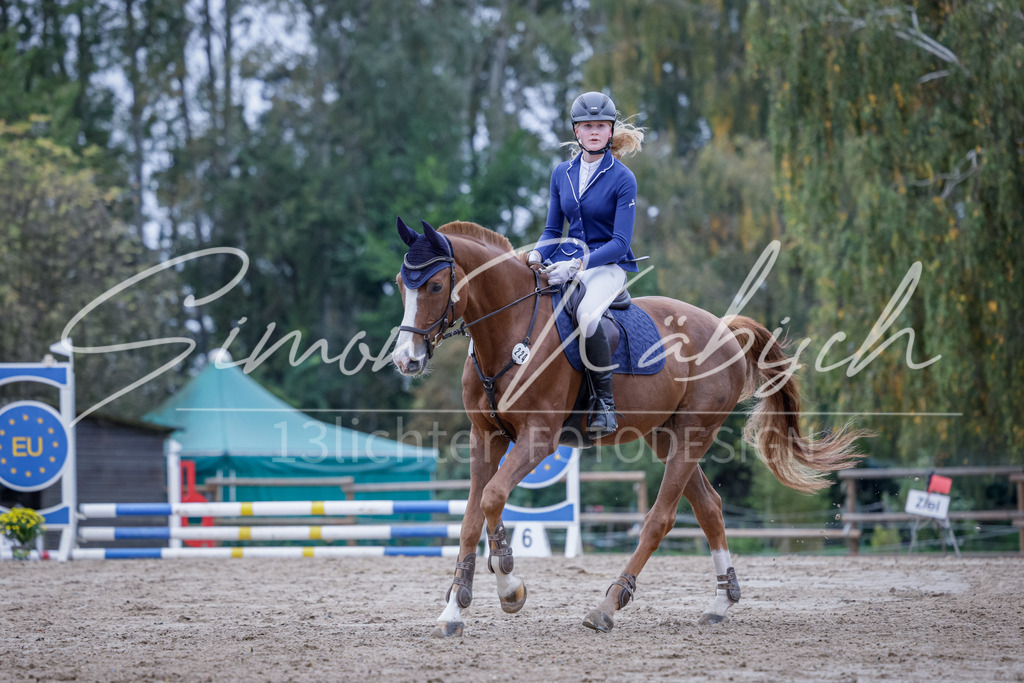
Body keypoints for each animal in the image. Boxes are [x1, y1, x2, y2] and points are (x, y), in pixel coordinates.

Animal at [391, 218, 864, 637]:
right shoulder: (484, 438)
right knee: (709, 507)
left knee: (661, 518)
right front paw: (453, 610)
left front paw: (510, 585)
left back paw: (607, 606)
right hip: (665, 436)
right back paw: (719, 603)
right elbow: (471, 518)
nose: (406, 360)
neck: (509, 331)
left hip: (692, 434)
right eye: (400, 283)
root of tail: (724, 329)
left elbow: (492, 497)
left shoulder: (539, 438)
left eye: (435, 286)